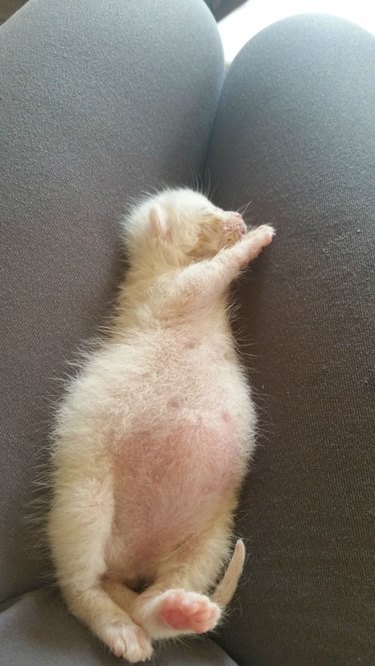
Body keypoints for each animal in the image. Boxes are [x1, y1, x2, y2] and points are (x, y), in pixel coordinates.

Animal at [48, 187, 274, 660]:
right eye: (208, 215)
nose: (239, 220)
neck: (159, 265)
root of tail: (129, 565)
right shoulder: (173, 291)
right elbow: (214, 269)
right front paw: (257, 239)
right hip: (85, 500)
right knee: (81, 585)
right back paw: (119, 629)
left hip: (211, 539)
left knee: (151, 602)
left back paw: (179, 610)